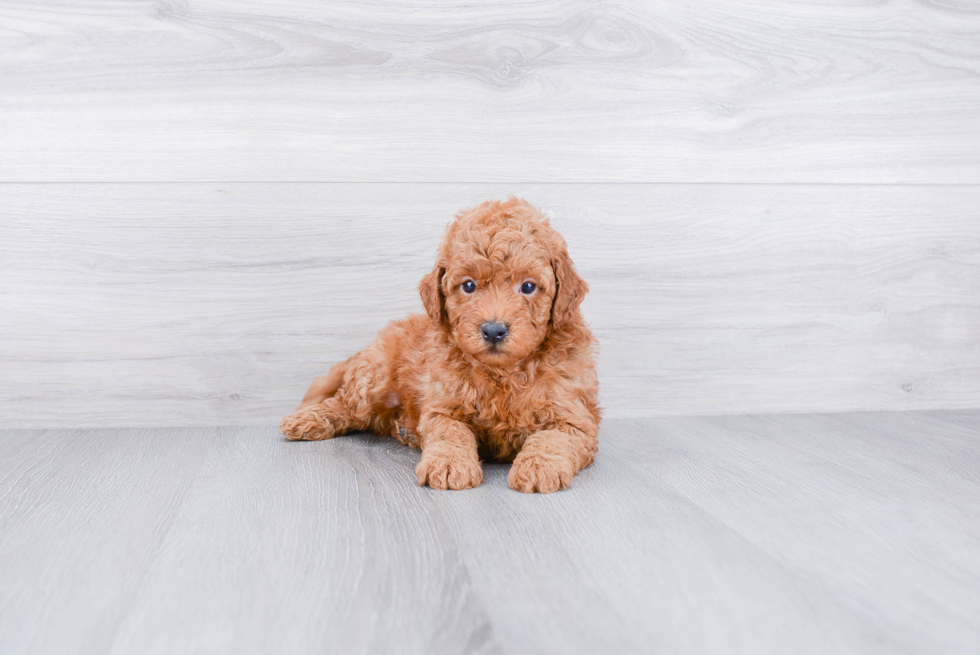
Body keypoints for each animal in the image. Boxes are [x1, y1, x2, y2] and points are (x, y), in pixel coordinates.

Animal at [280, 197, 600, 494]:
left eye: (529, 286)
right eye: (468, 285)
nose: (493, 330)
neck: (503, 373)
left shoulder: (574, 418)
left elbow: (552, 439)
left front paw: (538, 467)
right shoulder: (442, 407)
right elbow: (450, 433)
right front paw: (448, 464)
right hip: (375, 376)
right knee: (346, 405)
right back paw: (307, 419)